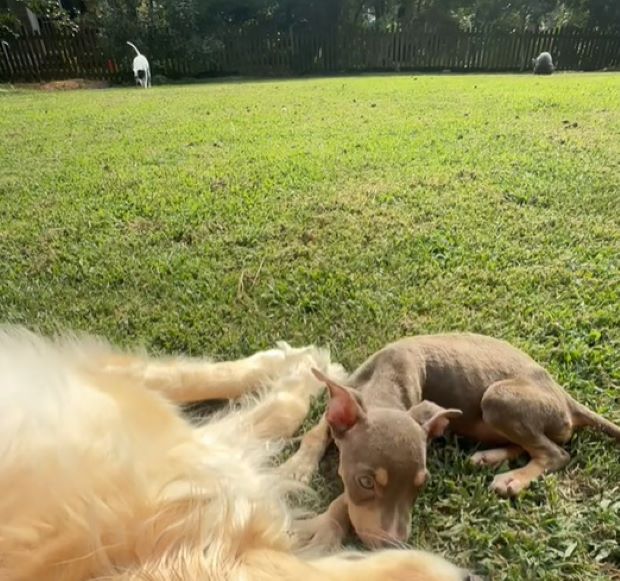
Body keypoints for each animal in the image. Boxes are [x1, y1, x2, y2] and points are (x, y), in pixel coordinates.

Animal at [282, 336, 620, 548]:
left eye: (421, 484)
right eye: (365, 481)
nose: (393, 546)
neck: (384, 379)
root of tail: (565, 397)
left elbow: (342, 502)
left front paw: (325, 526)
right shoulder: (340, 402)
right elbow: (316, 432)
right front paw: (296, 468)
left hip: (497, 399)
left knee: (555, 452)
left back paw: (513, 479)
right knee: (529, 445)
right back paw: (489, 457)